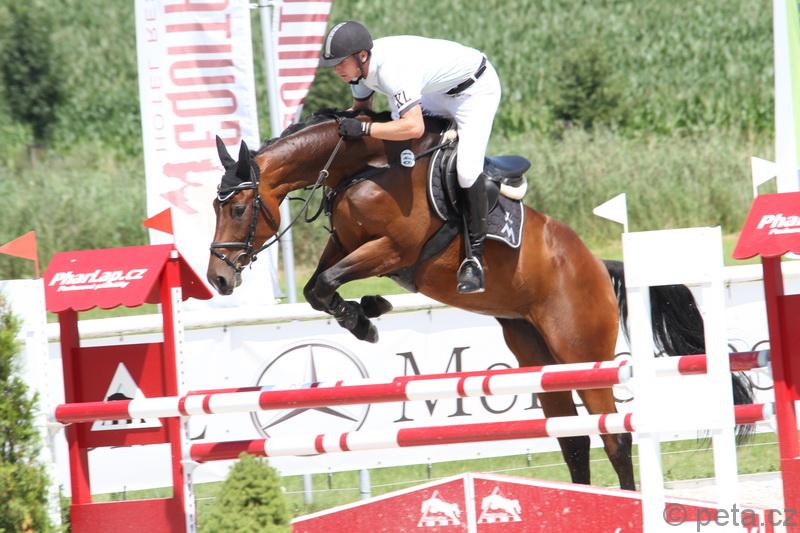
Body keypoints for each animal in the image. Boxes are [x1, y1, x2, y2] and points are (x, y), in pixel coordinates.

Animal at [206, 109, 752, 491]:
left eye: (238, 208)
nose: (218, 279)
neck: (360, 167)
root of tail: (598, 266)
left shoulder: (392, 250)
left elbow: (325, 285)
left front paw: (367, 318)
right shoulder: (345, 244)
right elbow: (316, 286)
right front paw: (367, 313)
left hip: (582, 352)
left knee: (614, 436)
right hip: (538, 355)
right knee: (574, 439)